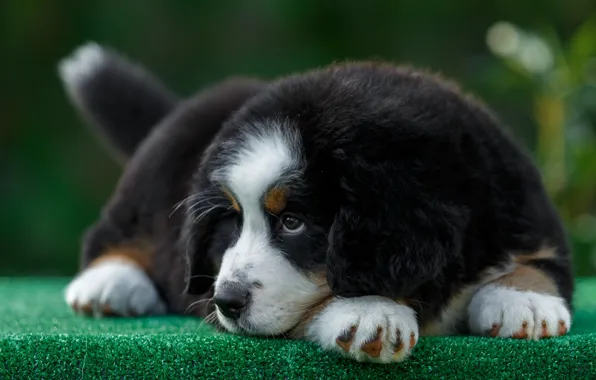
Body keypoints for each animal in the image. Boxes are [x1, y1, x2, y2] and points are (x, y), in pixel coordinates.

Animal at [59, 42, 572, 366]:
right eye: (231, 222)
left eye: (292, 222)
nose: (227, 302)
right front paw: (369, 313)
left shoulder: (523, 212)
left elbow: (539, 264)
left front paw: (525, 303)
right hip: (154, 170)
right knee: (111, 233)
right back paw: (110, 282)